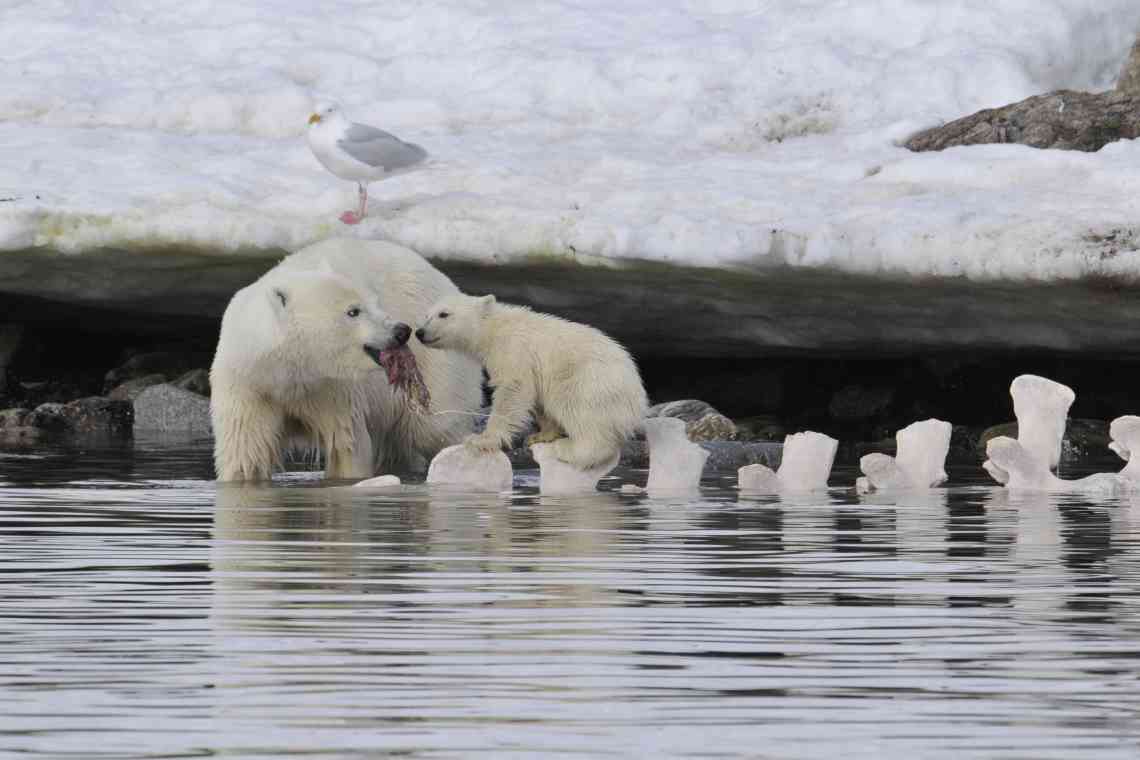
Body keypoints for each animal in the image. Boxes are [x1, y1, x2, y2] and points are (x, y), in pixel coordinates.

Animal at [209, 239, 481, 480]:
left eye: (375, 302)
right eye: (353, 311)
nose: (402, 331)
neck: (286, 373)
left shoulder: (333, 390)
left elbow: (345, 445)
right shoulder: (247, 387)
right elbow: (246, 453)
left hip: (438, 360)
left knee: (435, 425)